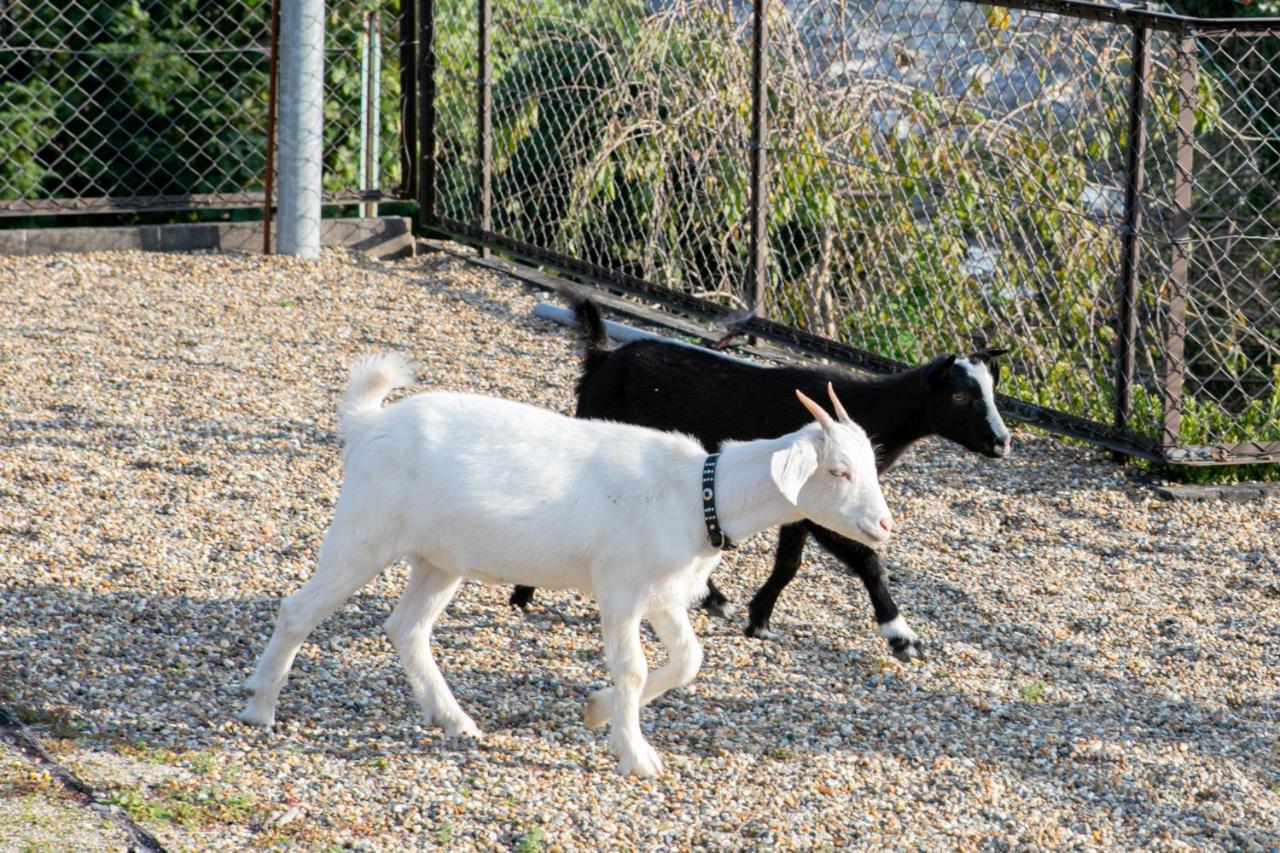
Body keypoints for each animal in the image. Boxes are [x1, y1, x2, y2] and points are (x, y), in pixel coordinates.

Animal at [241, 350, 901, 768]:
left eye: (868, 464)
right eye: (838, 471)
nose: (884, 525)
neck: (701, 493)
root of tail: (367, 424)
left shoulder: (664, 594)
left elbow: (689, 660)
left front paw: (597, 712)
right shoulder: (621, 588)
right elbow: (633, 668)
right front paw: (637, 755)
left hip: (439, 558)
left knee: (406, 629)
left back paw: (455, 720)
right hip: (366, 532)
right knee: (299, 608)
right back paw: (259, 706)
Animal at [509, 297, 1008, 655]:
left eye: (992, 389)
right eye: (961, 396)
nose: (1002, 442)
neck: (868, 408)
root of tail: (601, 358)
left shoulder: (800, 506)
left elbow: (789, 563)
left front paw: (759, 619)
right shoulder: (820, 505)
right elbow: (865, 559)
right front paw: (902, 636)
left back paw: (713, 598)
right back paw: (523, 595)